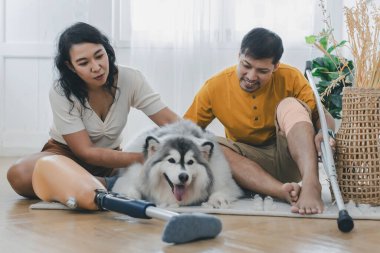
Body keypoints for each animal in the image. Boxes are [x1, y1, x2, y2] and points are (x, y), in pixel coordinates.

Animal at [113, 120, 242, 208]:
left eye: (190, 162)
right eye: (171, 160)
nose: (183, 176)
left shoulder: (222, 177)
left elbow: (223, 190)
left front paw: (218, 200)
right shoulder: (130, 176)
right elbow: (131, 189)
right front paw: (130, 198)